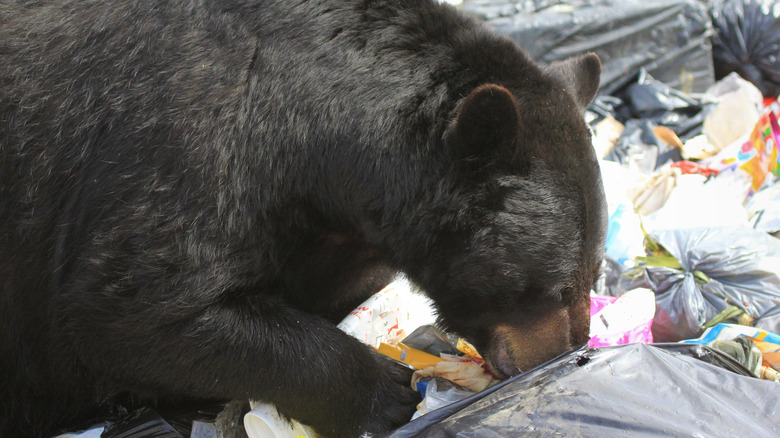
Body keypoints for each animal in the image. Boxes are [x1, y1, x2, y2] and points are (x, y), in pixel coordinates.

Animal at [0, 0, 607, 437]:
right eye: (554, 287)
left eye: (594, 273)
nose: (569, 353)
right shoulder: (185, 152)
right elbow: (130, 311)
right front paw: (387, 392)